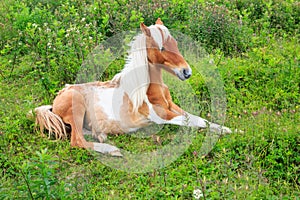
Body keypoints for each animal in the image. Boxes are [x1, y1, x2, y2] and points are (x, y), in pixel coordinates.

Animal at [35, 18, 232, 156]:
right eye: (161, 48)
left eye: (175, 43)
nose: (187, 72)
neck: (150, 89)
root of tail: (55, 100)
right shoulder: (162, 116)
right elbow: (195, 122)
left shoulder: (172, 107)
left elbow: (200, 119)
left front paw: (228, 129)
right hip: (76, 105)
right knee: (76, 140)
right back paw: (111, 150)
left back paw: (101, 135)